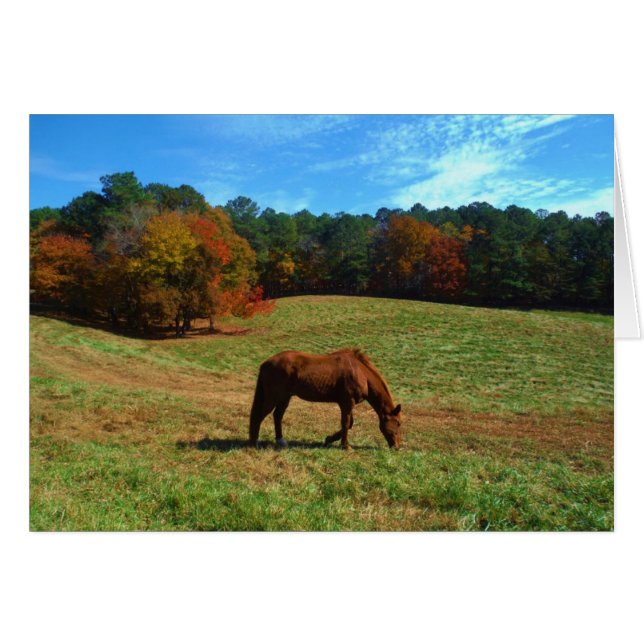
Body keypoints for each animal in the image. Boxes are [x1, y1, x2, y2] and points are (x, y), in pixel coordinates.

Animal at [248, 348, 402, 450]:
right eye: (398, 423)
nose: (397, 447)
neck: (360, 373)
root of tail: (266, 363)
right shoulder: (347, 402)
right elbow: (346, 423)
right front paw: (345, 446)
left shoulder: (347, 403)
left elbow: (349, 423)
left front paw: (329, 440)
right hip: (273, 397)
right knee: (259, 416)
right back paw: (253, 443)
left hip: (285, 397)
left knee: (277, 416)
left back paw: (280, 441)